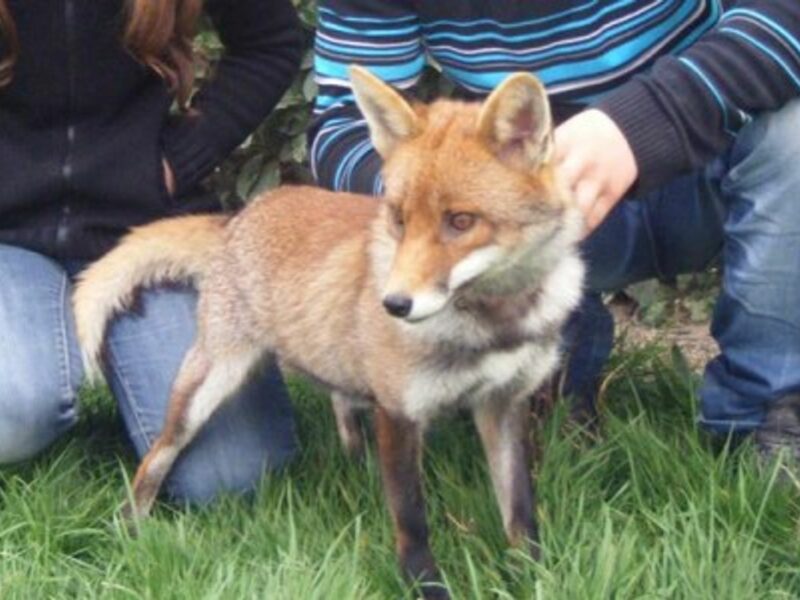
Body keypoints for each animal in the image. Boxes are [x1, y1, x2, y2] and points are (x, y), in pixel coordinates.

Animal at [73, 66, 584, 599]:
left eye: (461, 221)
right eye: (399, 218)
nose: (393, 304)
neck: (493, 324)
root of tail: (240, 214)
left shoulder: (502, 403)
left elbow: (520, 515)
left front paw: (535, 577)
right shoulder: (399, 412)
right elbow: (412, 523)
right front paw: (425, 587)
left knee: (342, 403)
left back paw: (357, 464)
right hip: (205, 386)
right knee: (156, 457)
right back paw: (130, 527)